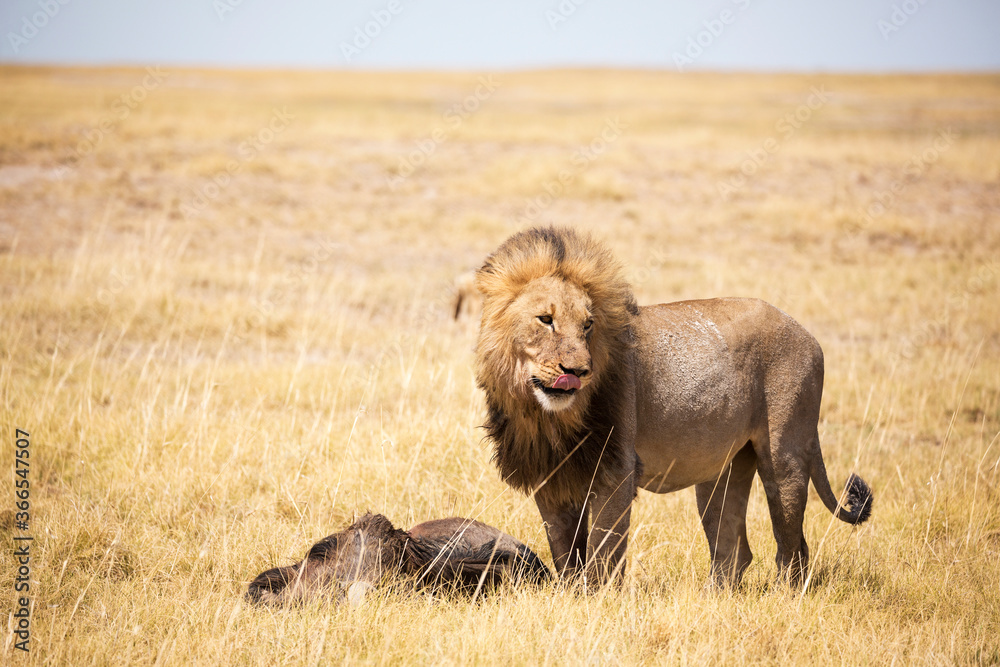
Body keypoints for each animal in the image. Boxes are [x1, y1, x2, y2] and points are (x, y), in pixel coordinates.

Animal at [474, 226, 872, 587]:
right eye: (545, 319)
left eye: (588, 325)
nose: (578, 372)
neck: (545, 417)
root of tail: (807, 334)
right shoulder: (549, 475)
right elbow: (565, 552)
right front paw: (571, 597)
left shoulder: (615, 469)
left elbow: (603, 551)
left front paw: (598, 600)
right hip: (722, 471)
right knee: (734, 550)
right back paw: (713, 600)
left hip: (784, 455)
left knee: (793, 546)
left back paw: (783, 597)